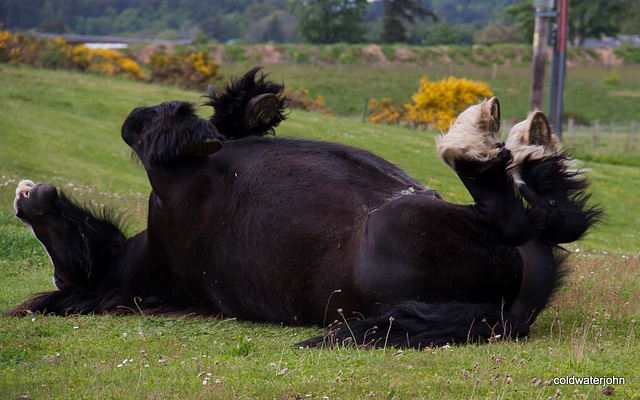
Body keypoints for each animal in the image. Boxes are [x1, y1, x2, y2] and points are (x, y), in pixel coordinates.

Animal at [11, 68, 600, 346]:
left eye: (56, 248)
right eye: (64, 266)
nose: (24, 202)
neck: (152, 265)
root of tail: (510, 315)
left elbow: (211, 127)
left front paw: (248, 102)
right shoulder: (169, 186)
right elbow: (134, 126)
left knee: (550, 216)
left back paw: (529, 143)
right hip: (416, 221)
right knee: (524, 216)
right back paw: (477, 140)